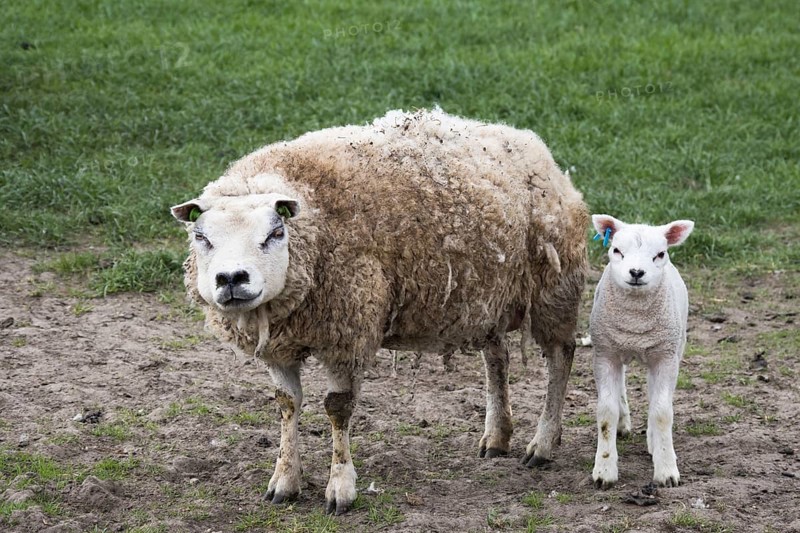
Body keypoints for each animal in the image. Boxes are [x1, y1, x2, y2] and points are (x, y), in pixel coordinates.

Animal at [170, 108, 589, 514]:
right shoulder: (279, 347)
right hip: (486, 299)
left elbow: (337, 409)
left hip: (553, 290)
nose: (231, 278)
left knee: (559, 359)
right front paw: (284, 482)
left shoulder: (349, 333)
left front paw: (340, 488)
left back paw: (543, 444)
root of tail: (530, 144)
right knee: (497, 358)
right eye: (201, 236)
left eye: (275, 233)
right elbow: (287, 404)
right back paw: (497, 436)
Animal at [589, 214, 695, 489]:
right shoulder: (605, 354)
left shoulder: (665, 358)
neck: (635, 322)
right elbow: (606, 412)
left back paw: (654, 442)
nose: (636, 272)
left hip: (675, 345)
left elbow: (661, 412)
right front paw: (604, 470)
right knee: (622, 384)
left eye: (660, 254)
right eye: (616, 250)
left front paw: (666, 469)